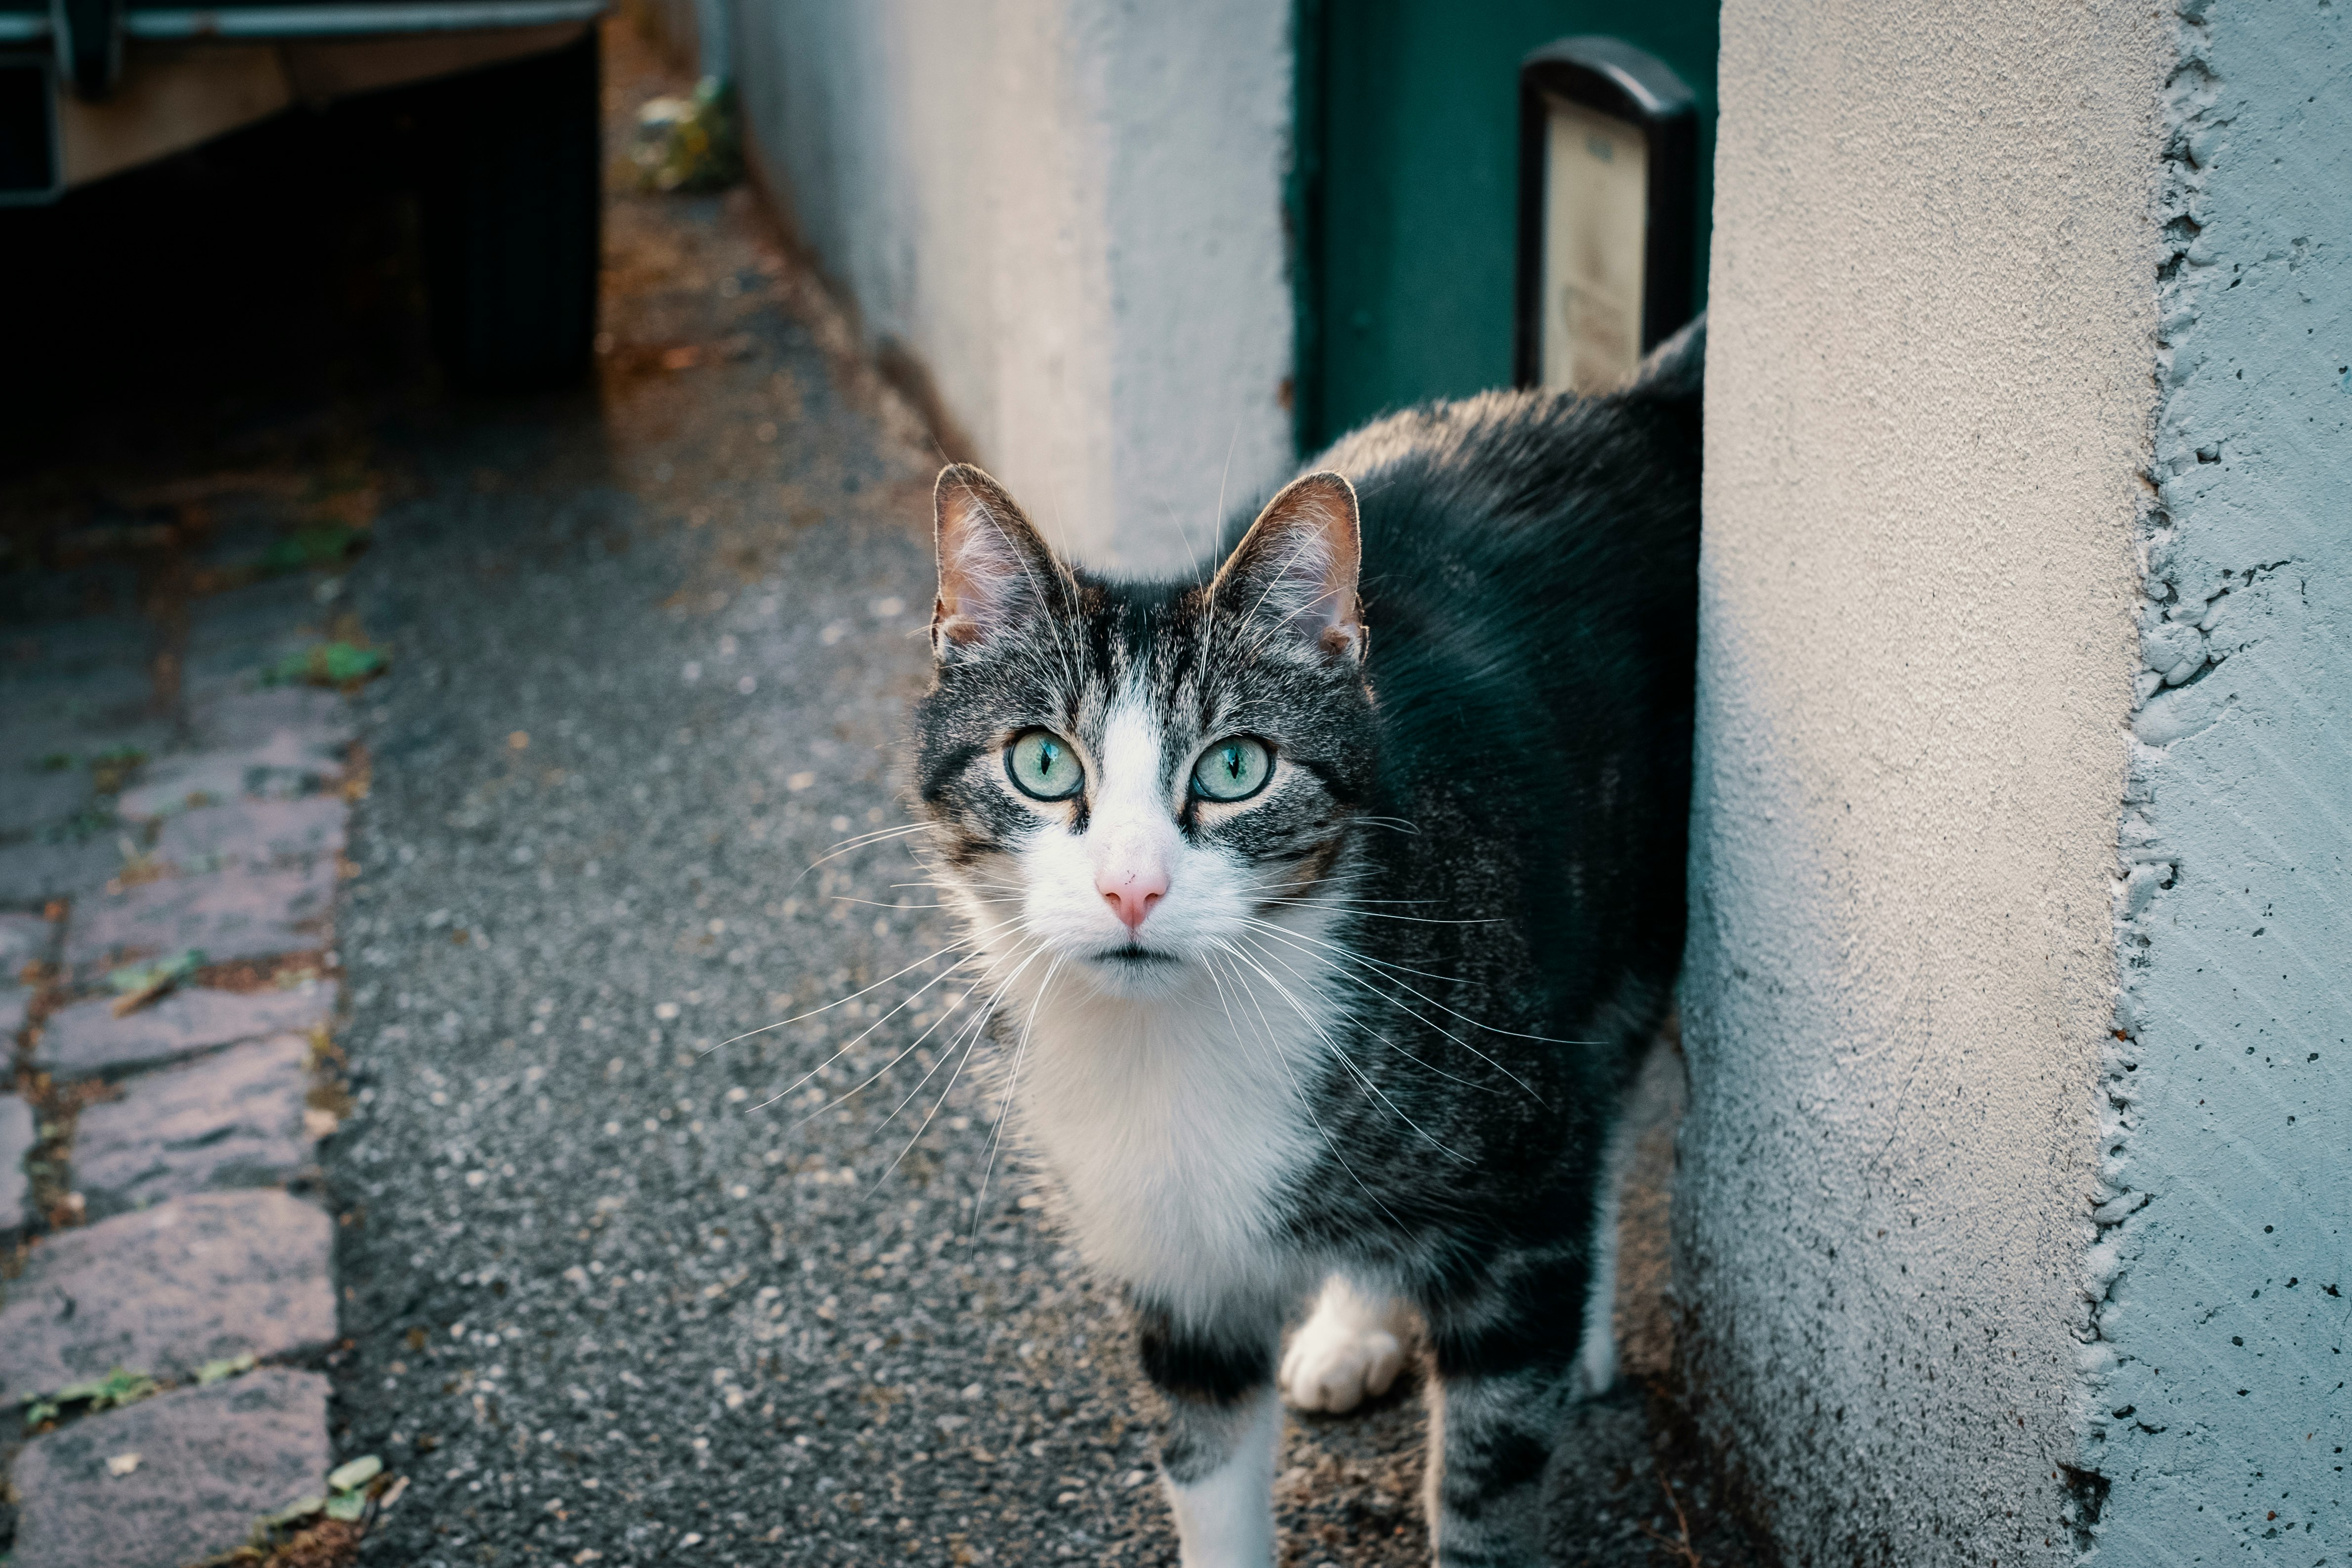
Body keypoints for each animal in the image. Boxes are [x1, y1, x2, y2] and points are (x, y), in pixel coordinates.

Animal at [907, 324, 1703, 1561]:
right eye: (1041, 761)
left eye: (1237, 766)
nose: (1131, 886)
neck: (1174, 1047)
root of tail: (1621, 400)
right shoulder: (1178, 1268)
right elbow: (1208, 1461)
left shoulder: (1520, 1185)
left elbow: (1487, 1474)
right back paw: (1353, 1324)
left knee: (1600, 1096)